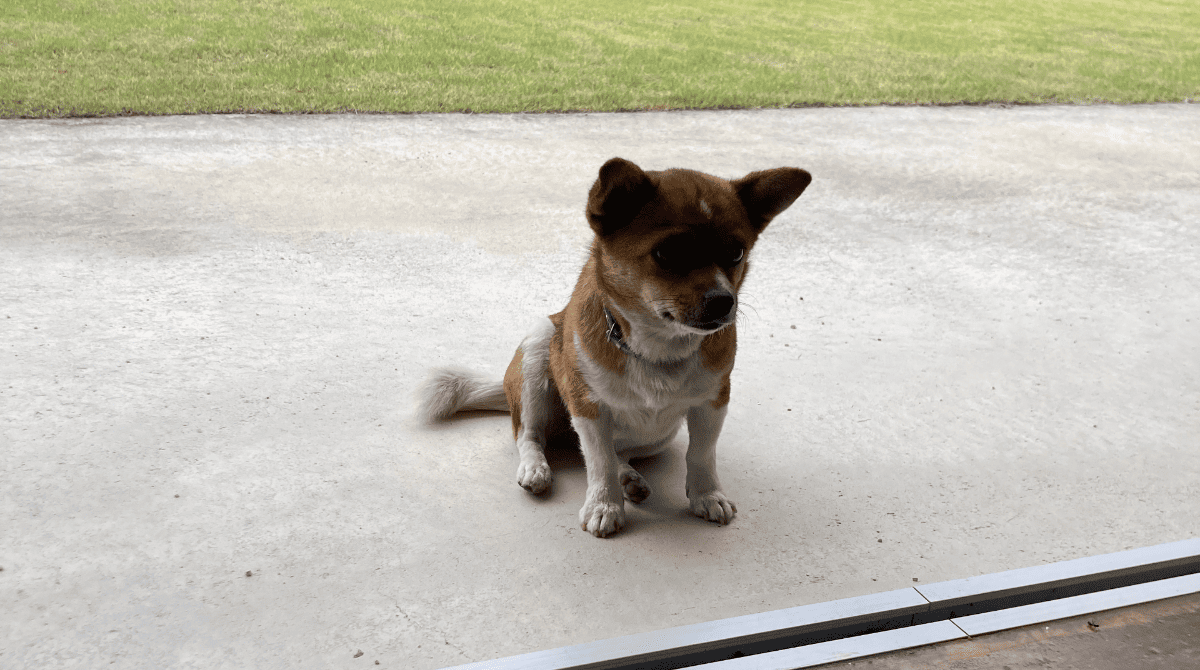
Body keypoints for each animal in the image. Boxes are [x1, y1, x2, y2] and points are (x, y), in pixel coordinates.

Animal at [417, 158, 811, 540]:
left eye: (736, 252)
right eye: (668, 252)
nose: (723, 302)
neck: (658, 348)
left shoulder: (711, 404)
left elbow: (701, 454)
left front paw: (707, 494)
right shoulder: (589, 408)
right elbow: (599, 462)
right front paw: (604, 505)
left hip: (659, 436)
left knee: (614, 450)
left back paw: (629, 477)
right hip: (537, 348)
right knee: (532, 435)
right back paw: (537, 467)